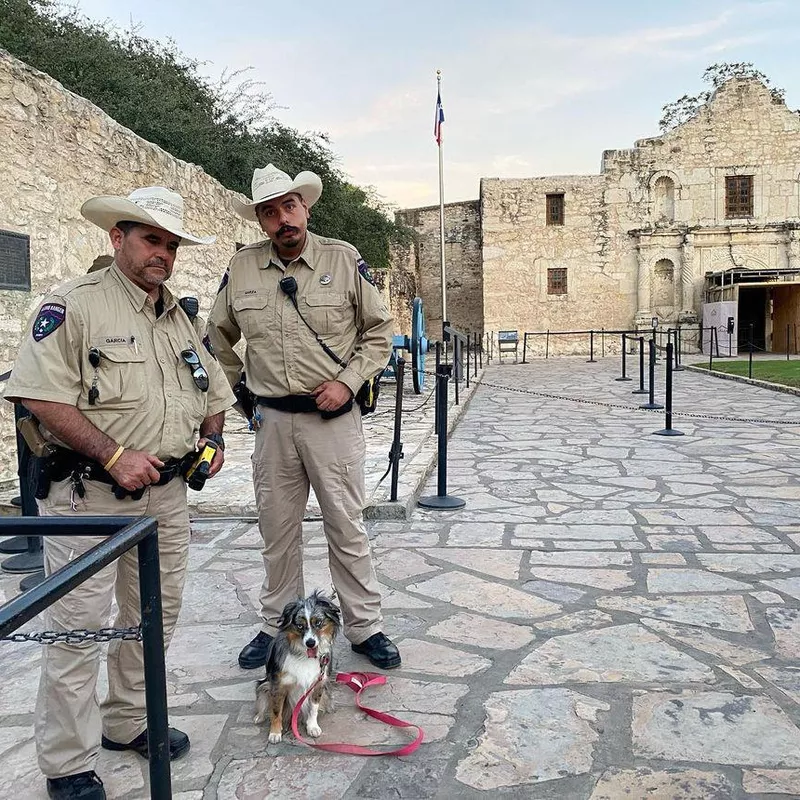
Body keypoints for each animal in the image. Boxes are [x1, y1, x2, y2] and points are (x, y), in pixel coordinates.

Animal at [253, 588, 340, 744]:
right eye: (300, 626)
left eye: (318, 623)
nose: (310, 643)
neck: (304, 655)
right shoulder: (278, 685)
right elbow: (276, 710)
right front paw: (275, 733)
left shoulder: (318, 683)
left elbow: (313, 707)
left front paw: (312, 727)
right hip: (264, 686)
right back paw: (259, 717)